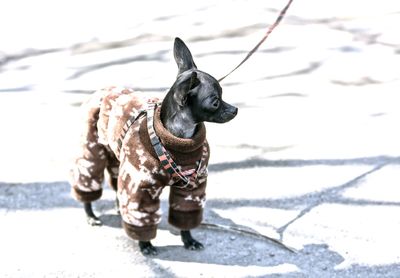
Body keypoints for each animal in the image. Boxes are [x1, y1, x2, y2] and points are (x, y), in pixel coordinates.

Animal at [70, 38, 238, 255]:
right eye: (216, 102)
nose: (235, 109)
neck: (178, 139)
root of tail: (103, 90)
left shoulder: (192, 188)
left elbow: (185, 216)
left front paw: (189, 240)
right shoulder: (141, 187)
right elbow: (142, 217)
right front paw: (145, 244)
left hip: (118, 160)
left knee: (117, 186)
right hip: (92, 153)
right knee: (88, 182)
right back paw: (91, 215)